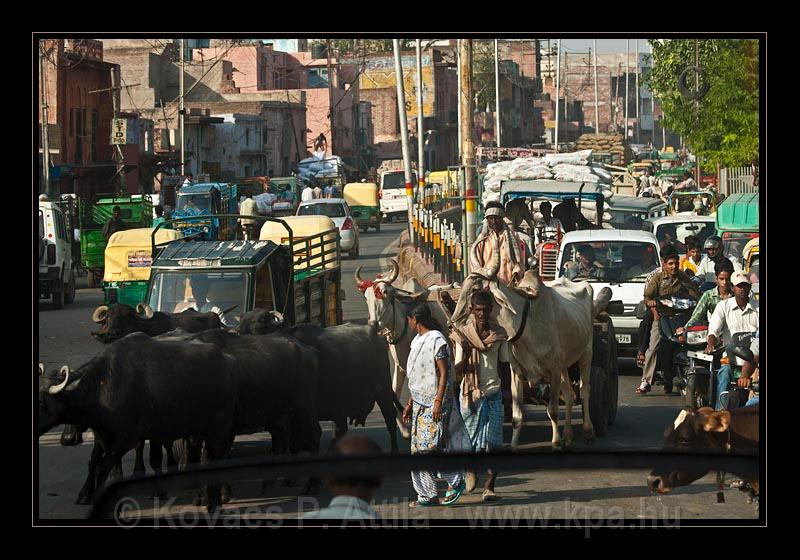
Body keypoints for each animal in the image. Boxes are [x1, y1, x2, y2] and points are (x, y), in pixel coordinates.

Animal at [38, 332, 238, 512]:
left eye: (40, 401)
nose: (67, 439)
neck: (103, 389)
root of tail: (227, 362)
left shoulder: (125, 439)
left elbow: (104, 469)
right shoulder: (107, 439)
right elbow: (107, 469)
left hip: (220, 429)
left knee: (218, 457)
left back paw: (215, 500)